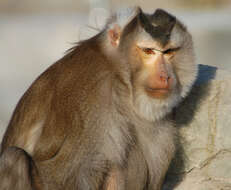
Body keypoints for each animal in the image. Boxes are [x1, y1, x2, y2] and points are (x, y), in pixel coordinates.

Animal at [0, 6, 197, 190]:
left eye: (169, 51)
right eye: (148, 51)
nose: (165, 76)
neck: (120, 78)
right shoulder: (93, 96)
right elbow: (67, 174)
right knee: (14, 158)